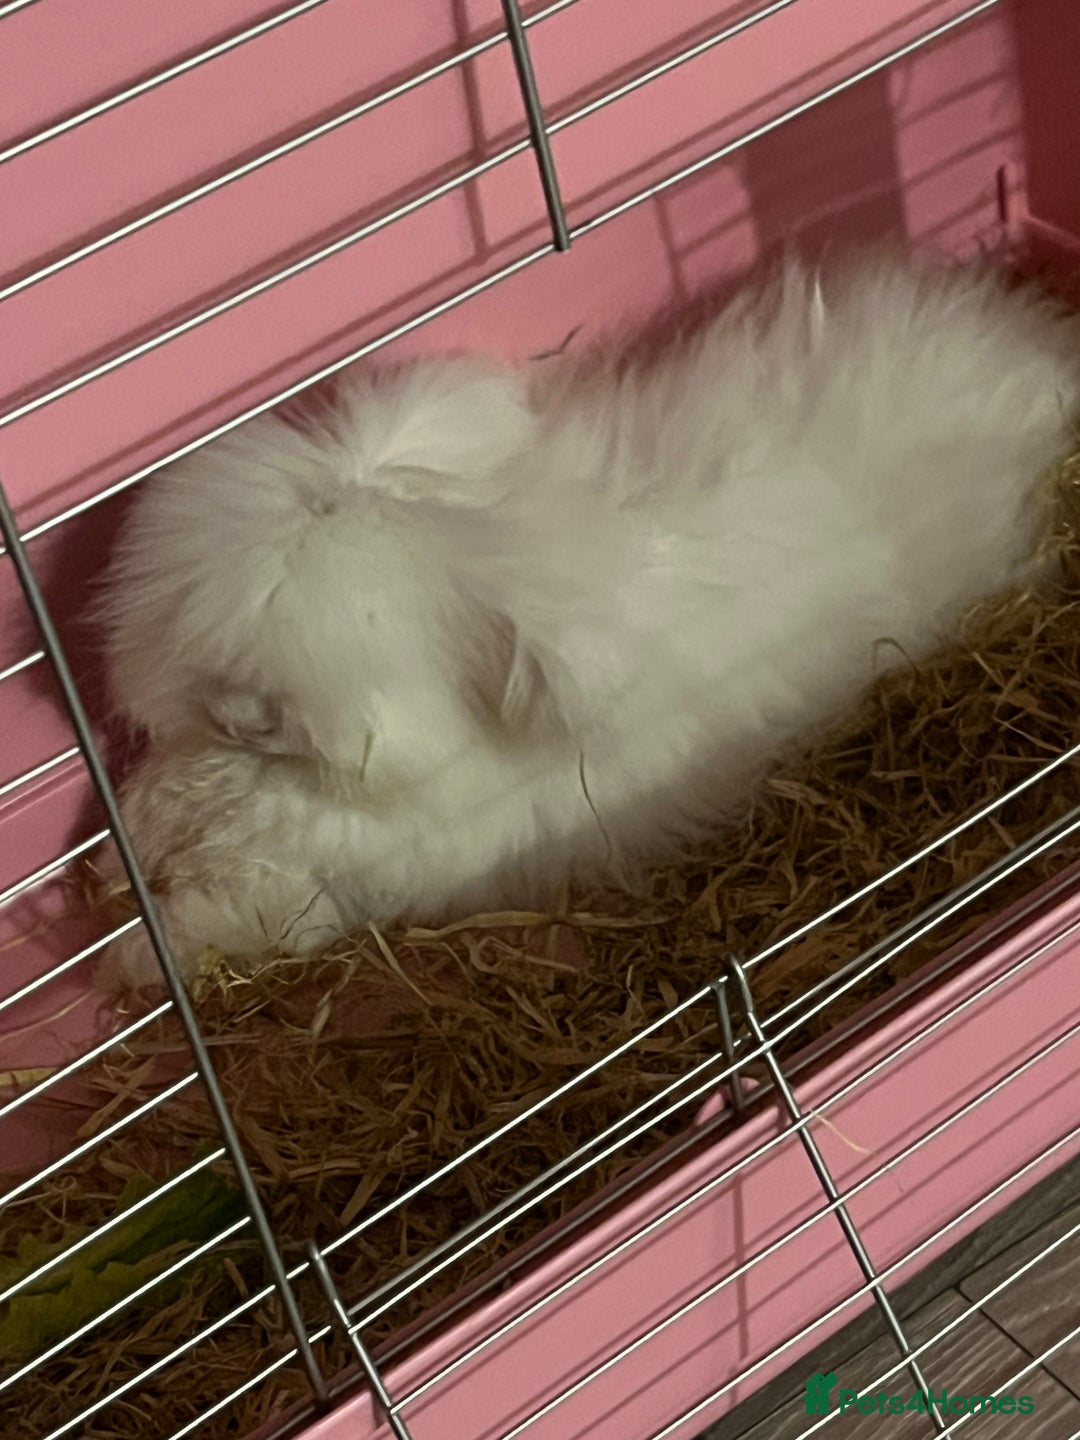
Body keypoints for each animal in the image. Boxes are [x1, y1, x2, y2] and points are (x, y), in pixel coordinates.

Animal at [95, 250, 1080, 990]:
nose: (237, 716)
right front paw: (118, 875)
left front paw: (146, 953)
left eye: (349, 659)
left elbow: (248, 913)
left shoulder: (332, 881)